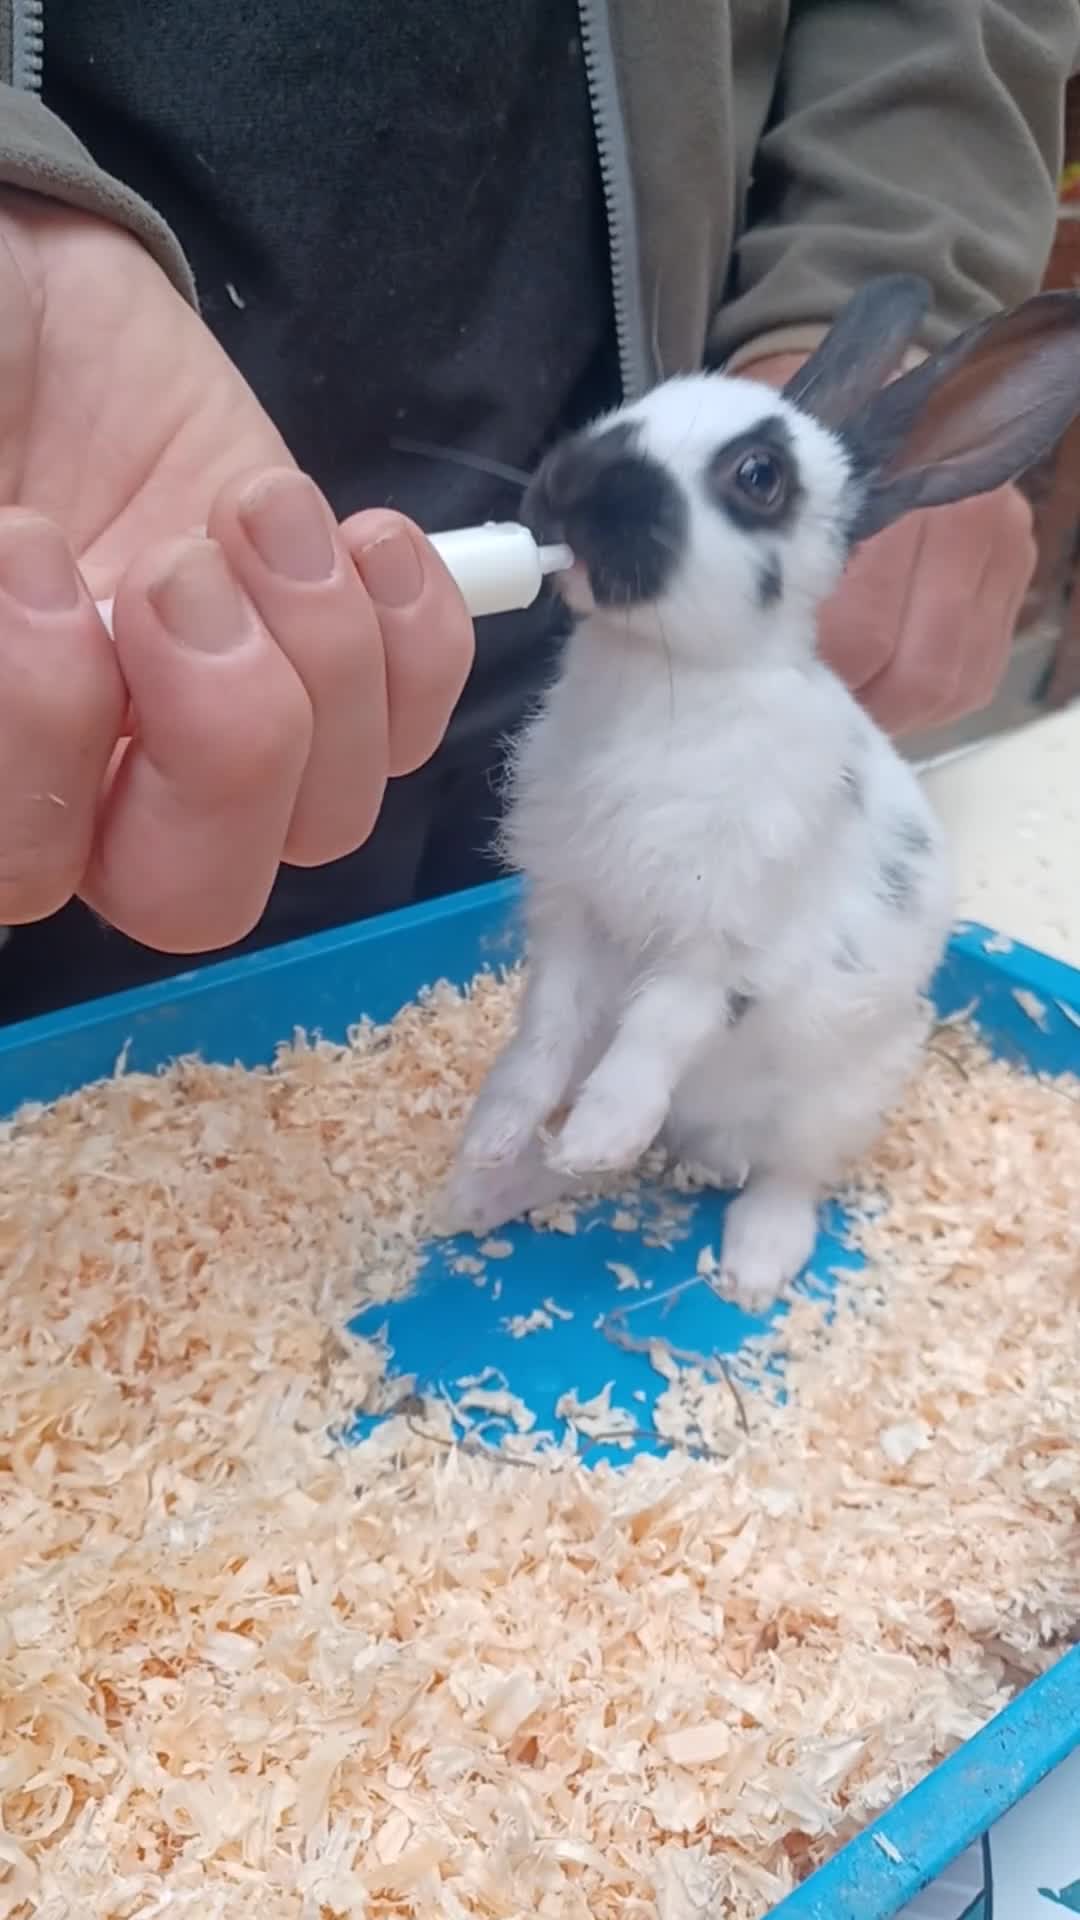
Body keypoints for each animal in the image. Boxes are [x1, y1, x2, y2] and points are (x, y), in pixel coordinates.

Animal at [440, 274, 1080, 1311]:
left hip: (838, 1097)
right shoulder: (575, 919)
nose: (565, 491)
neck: (664, 679)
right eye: (642, 406)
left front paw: (596, 1135)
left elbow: (660, 1031)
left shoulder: (723, 945)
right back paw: (488, 1189)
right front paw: (502, 1129)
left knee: (791, 1174)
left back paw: (752, 1262)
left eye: (758, 477)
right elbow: (543, 1034)